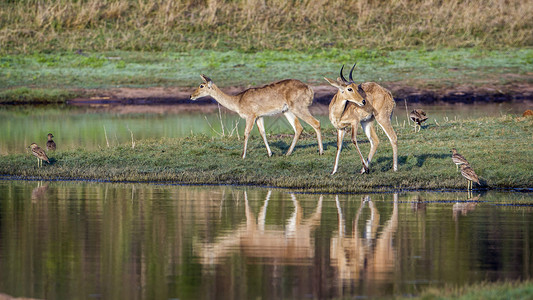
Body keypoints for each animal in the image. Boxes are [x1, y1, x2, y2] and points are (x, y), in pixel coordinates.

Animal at [191, 74, 324, 158]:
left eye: (201, 85)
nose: (191, 96)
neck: (238, 101)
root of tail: (309, 89)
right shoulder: (259, 116)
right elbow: (262, 132)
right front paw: (270, 154)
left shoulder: (250, 115)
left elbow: (246, 133)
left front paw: (243, 155)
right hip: (287, 110)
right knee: (298, 127)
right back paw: (287, 153)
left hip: (298, 107)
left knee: (316, 122)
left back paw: (321, 151)